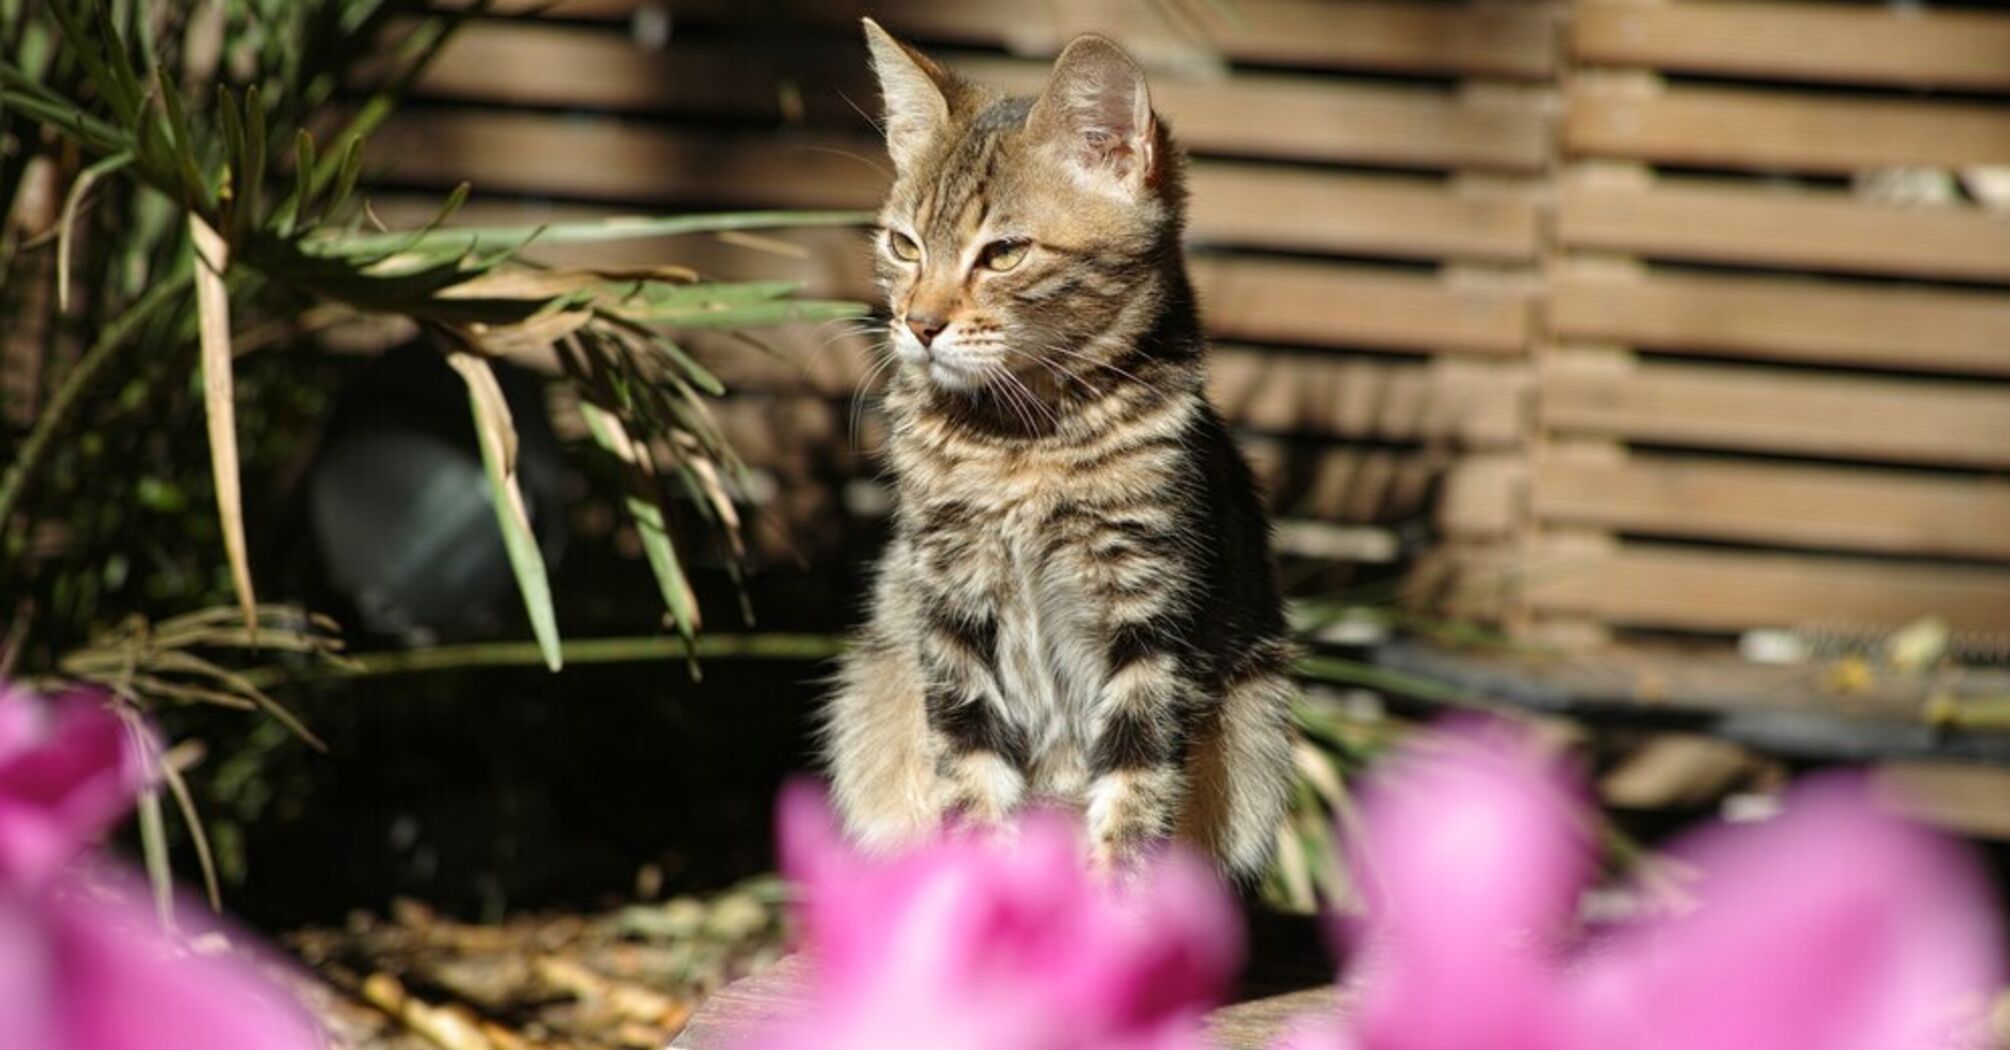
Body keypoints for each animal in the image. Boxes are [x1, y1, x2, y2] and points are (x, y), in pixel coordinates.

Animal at [824, 20, 1294, 872]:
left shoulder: (1150, 620)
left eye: (1004, 253)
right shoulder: (951, 608)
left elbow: (1134, 797)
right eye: (904, 246)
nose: (919, 323)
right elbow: (972, 779)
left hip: (1257, 725)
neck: (1025, 445)